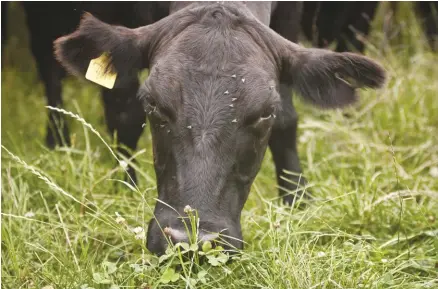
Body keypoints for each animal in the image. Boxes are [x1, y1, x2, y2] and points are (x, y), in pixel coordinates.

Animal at [54, 2, 386, 254]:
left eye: (266, 113)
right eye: (153, 103)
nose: (191, 239)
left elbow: (288, 121)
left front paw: (297, 199)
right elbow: (124, 114)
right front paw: (124, 187)